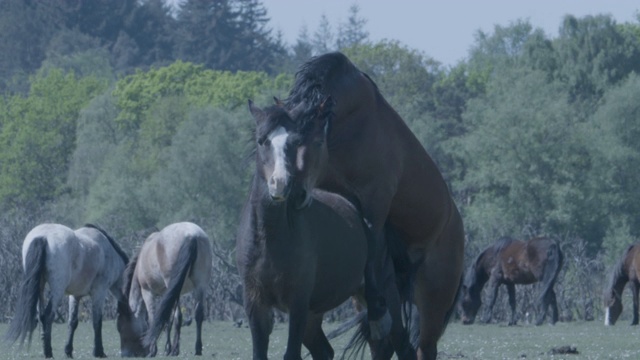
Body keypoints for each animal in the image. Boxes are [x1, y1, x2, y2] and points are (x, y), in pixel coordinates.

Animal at [5, 222, 129, 358]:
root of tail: (43, 236)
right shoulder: (99, 292)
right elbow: (97, 322)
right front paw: (99, 352)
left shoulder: (75, 295)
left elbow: (72, 322)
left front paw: (68, 351)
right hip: (57, 290)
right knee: (48, 316)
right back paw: (48, 352)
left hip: (40, 287)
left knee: (42, 316)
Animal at [116, 222, 214, 358]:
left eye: (120, 327)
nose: (125, 354)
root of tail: (192, 235)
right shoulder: (167, 294)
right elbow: (166, 319)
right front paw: (167, 348)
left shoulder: (148, 292)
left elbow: (153, 318)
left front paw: (153, 350)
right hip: (200, 285)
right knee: (198, 314)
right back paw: (197, 349)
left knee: (178, 316)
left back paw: (175, 350)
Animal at [235, 99, 416, 360]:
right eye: (262, 141)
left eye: (294, 142)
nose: (281, 183)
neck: (268, 236)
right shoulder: (255, 304)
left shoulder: (298, 303)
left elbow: (291, 354)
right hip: (316, 314)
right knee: (327, 350)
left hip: (386, 295)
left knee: (401, 345)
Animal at [280, 52, 464, 358]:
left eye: (312, 139)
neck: (352, 124)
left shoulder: (375, 202)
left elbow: (371, 242)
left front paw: (377, 313)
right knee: (388, 343)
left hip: (432, 303)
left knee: (421, 346)